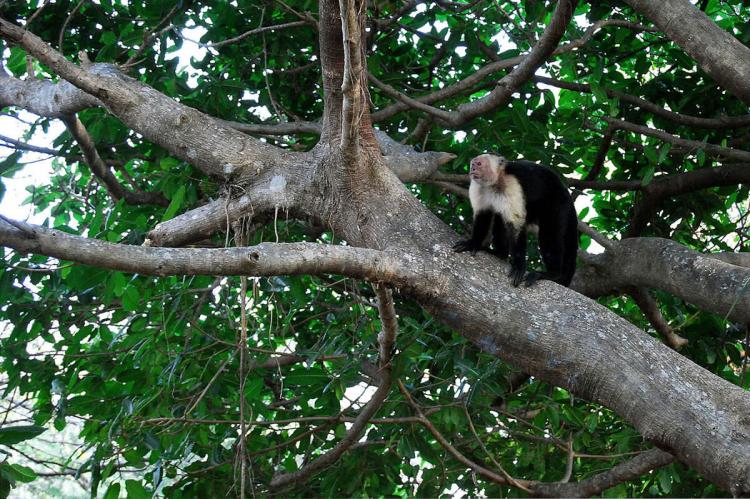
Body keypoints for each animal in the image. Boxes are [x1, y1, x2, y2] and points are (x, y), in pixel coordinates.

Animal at [453, 154, 578, 287]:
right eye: (473, 164)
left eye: (479, 164)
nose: (472, 169)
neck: (494, 182)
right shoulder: (478, 186)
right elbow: (483, 215)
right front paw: (473, 243)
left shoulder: (511, 184)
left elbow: (516, 225)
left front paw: (519, 266)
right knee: (500, 221)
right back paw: (499, 254)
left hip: (558, 203)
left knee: (549, 232)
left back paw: (552, 274)